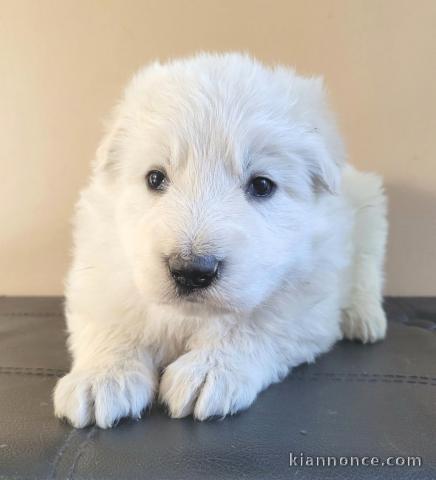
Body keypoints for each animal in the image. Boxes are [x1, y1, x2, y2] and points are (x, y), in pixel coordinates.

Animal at [52, 52, 386, 428]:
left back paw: (364, 319)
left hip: (369, 208)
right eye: (155, 178)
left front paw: (209, 370)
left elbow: (256, 325)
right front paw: (102, 377)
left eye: (262, 185)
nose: (191, 270)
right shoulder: (103, 269)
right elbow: (113, 322)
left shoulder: (307, 295)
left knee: (367, 269)